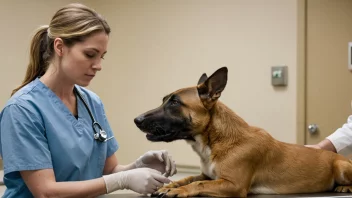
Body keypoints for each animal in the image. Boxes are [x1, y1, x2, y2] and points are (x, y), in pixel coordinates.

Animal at [133, 67, 352, 197]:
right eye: (165, 100)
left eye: (175, 102)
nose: (137, 120)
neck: (216, 140)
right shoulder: (209, 176)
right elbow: (190, 178)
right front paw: (171, 185)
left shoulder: (233, 185)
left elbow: (198, 185)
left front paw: (181, 190)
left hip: (341, 166)